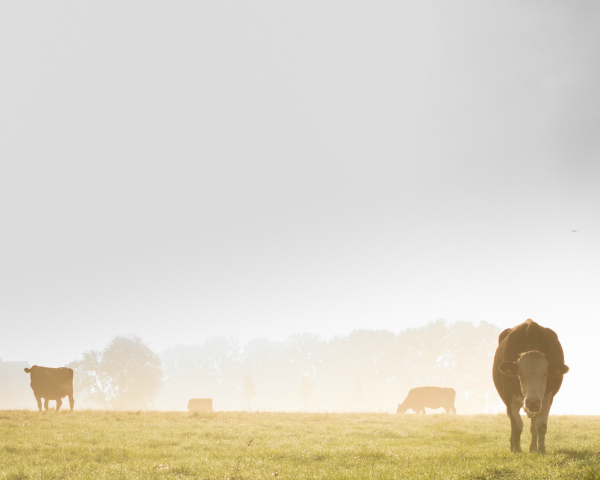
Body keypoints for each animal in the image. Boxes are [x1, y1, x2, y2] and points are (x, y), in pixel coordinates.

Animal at [492, 318, 568, 454]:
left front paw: (541, 450)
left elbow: (541, 426)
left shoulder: (547, 398)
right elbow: (517, 425)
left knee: (533, 425)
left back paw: (533, 448)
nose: (532, 402)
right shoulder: (509, 397)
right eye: (520, 374)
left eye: (545, 374)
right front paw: (517, 450)